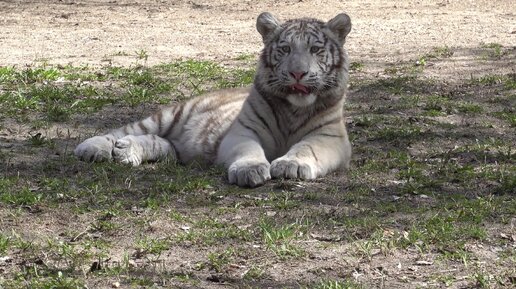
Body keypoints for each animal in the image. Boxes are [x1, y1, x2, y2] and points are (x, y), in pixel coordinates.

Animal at [74, 11, 352, 187]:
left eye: (315, 50)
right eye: (285, 49)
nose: (297, 73)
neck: (294, 108)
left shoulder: (330, 138)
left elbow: (306, 147)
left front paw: (290, 165)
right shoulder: (243, 131)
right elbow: (248, 149)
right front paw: (250, 170)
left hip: (180, 148)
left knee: (156, 142)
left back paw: (125, 151)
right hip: (169, 116)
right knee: (124, 130)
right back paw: (93, 148)